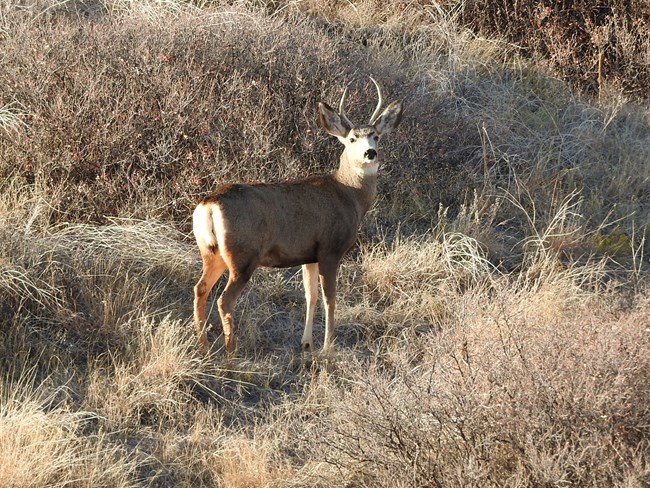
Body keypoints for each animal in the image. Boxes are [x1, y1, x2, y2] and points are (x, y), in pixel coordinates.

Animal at [192, 77, 403, 354]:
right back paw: (231, 350)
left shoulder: (308, 255)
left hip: (211, 252)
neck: (348, 194)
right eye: (352, 139)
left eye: (375, 136)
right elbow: (329, 298)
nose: (371, 153)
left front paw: (307, 343)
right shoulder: (330, 249)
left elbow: (310, 296)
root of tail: (209, 204)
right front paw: (328, 345)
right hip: (243, 255)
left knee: (200, 289)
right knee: (224, 300)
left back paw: (203, 346)